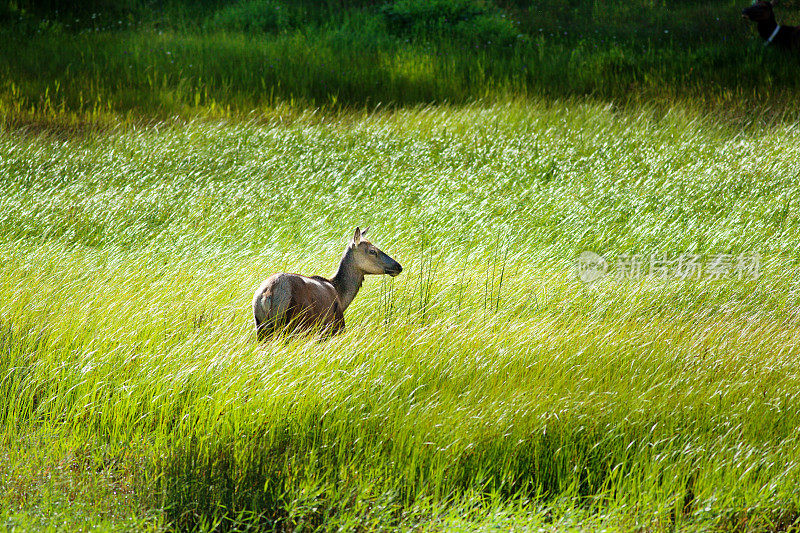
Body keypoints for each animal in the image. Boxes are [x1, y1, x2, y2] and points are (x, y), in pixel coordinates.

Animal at [252, 227, 404, 338]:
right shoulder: (335, 326)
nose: (398, 266)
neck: (341, 296)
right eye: (372, 251)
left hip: (262, 328)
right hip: (296, 325)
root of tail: (267, 295)